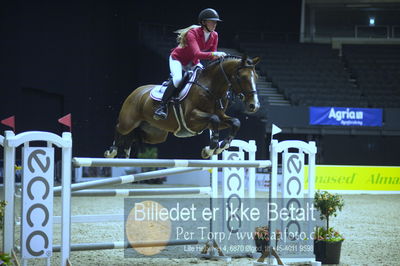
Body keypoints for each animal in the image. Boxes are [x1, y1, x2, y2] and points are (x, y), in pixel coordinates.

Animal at [104, 54, 260, 158]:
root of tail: (137, 92)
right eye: (242, 77)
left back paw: (125, 153)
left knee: (134, 136)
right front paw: (210, 149)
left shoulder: (218, 117)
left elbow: (235, 122)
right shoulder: (192, 118)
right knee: (120, 128)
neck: (211, 88)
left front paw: (221, 146)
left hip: (155, 133)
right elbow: (214, 119)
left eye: (256, 77)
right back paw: (111, 151)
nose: (254, 106)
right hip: (128, 122)